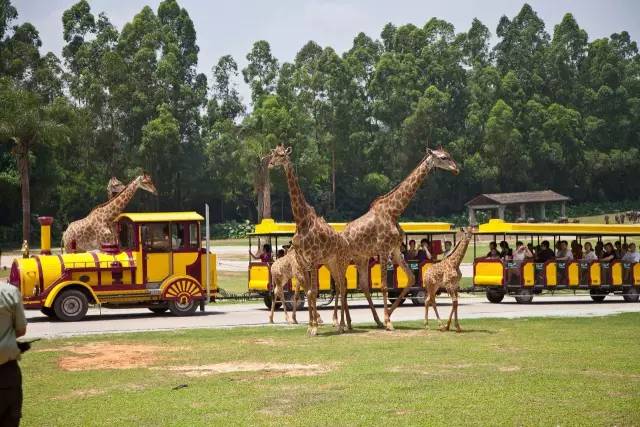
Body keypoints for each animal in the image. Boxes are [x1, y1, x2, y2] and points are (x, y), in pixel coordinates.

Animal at [268, 145, 352, 336]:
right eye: (273, 154)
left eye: (282, 155)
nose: (270, 164)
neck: (301, 221)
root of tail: (346, 242)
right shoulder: (302, 262)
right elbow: (308, 292)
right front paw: (310, 325)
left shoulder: (312, 260)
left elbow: (313, 291)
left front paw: (314, 327)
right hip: (330, 262)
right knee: (339, 285)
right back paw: (345, 324)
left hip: (341, 261)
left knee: (343, 286)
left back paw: (342, 325)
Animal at [342, 147, 458, 332]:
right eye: (443, 157)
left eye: (449, 156)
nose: (456, 169)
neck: (394, 211)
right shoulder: (383, 249)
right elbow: (383, 285)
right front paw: (388, 322)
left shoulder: (395, 249)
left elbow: (410, 278)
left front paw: (388, 315)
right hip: (347, 258)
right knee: (343, 286)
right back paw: (346, 323)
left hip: (362, 257)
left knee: (362, 285)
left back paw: (365, 322)